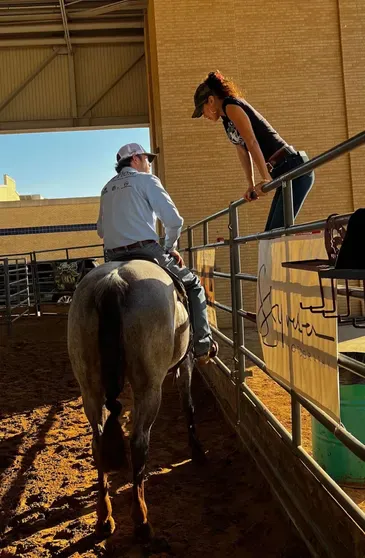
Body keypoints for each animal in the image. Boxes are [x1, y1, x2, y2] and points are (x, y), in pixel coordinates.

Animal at [67, 260, 205, 544]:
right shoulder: (185, 362)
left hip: (90, 389)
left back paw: (104, 519)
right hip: (149, 388)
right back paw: (141, 521)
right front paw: (197, 450)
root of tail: (113, 282)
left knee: (98, 443)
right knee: (139, 442)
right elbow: (188, 405)